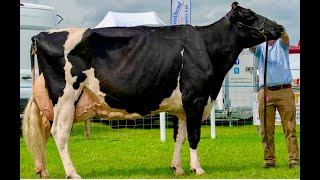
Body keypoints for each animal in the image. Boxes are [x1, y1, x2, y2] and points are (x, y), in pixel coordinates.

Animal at [23, 1, 284, 179]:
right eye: (249, 15)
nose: (280, 26)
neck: (207, 47)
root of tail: (40, 35)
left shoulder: (182, 106)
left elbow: (179, 136)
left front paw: (177, 167)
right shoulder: (196, 99)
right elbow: (194, 136)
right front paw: (197, 168)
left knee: (44, 132)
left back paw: (42, 170)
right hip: (66, 97)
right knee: (60, 133)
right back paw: (72, 172)